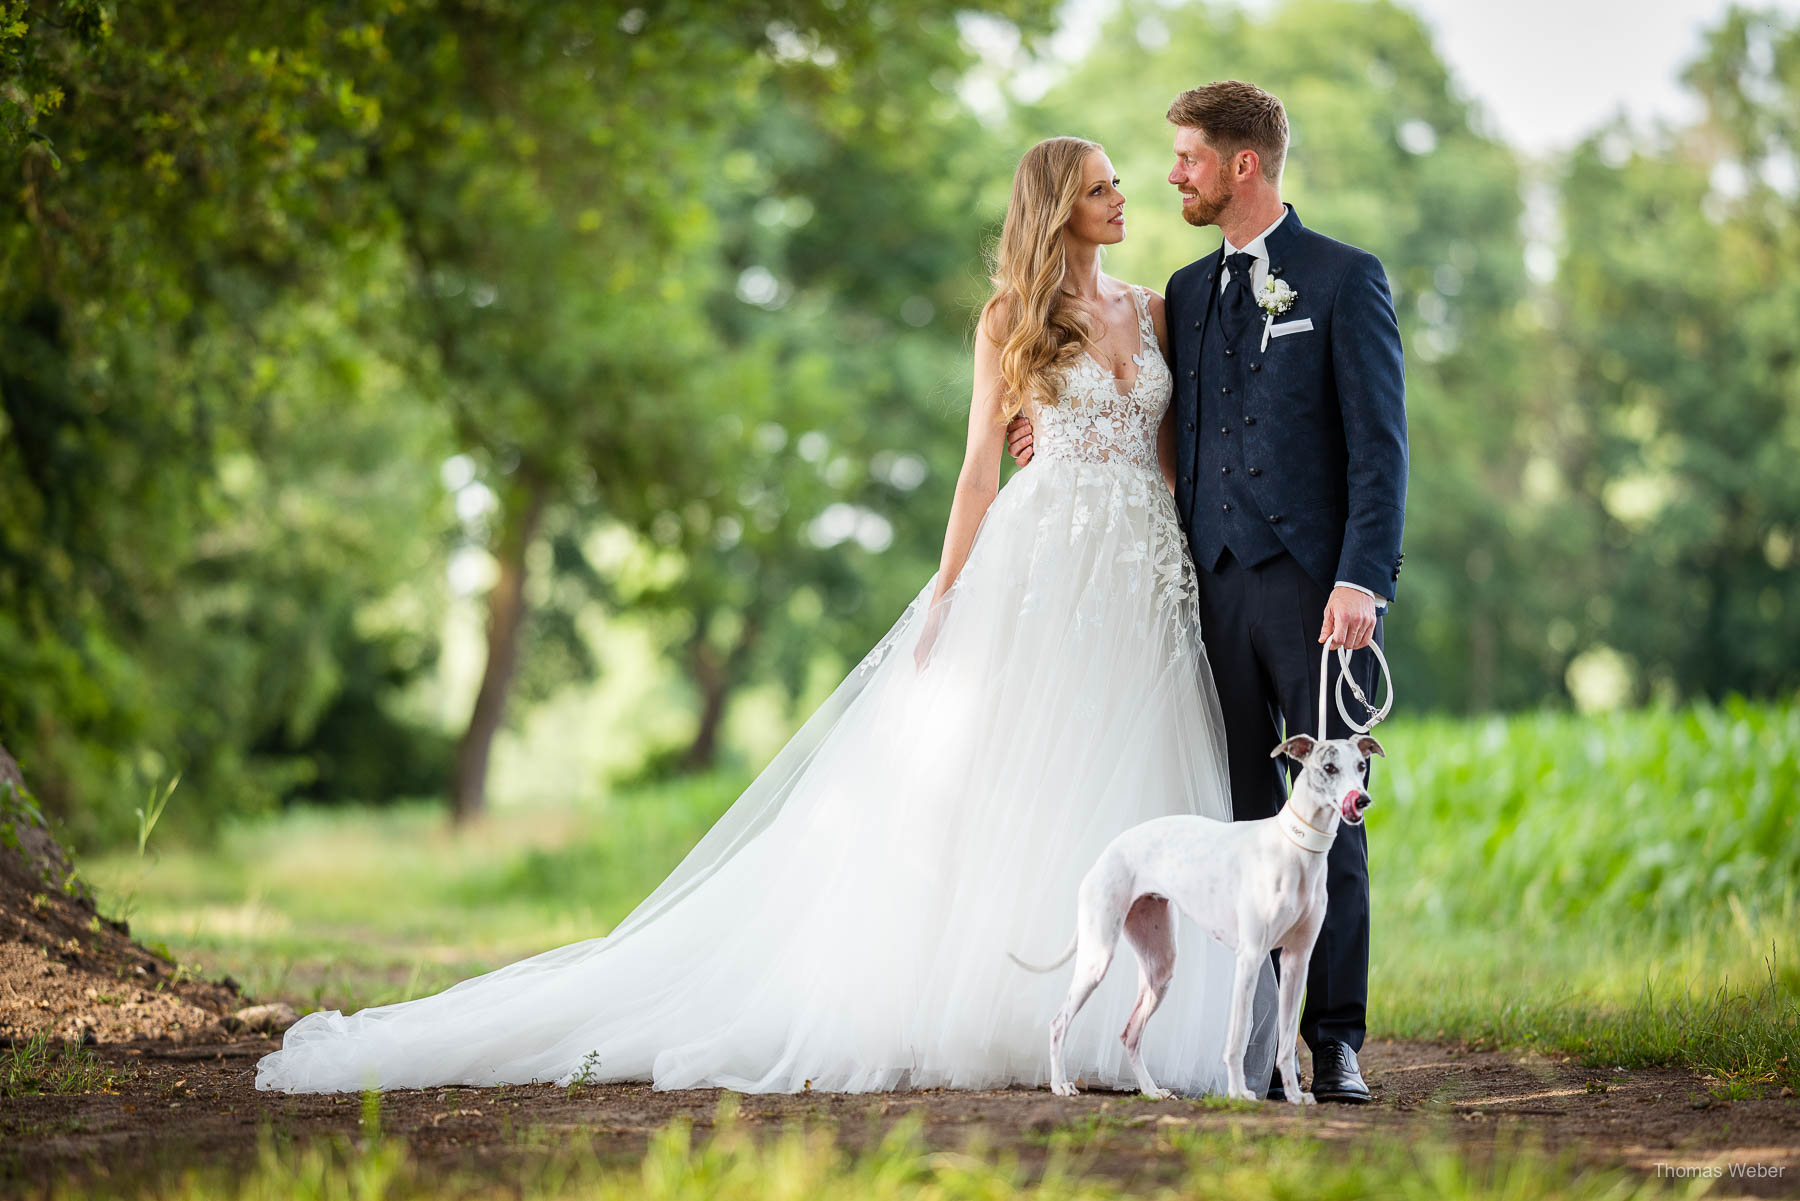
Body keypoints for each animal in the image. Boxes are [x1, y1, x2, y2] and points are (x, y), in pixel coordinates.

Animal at [1015, 727, 1375, 1101]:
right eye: (1329, 767)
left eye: (1362, 765)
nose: (1361, 800)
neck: (1295, 847)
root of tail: (1107, 851)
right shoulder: (1250, 957)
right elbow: (1236, 1038)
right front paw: (1239, 1094)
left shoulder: (1297, 960)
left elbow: (1288, 1039)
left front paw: (1294, 1096)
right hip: (1097, 957)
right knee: (1059, 1021)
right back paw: (1060, 1083)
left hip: (1159, 967)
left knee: (1130, 1034)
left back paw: (1151, 1091)